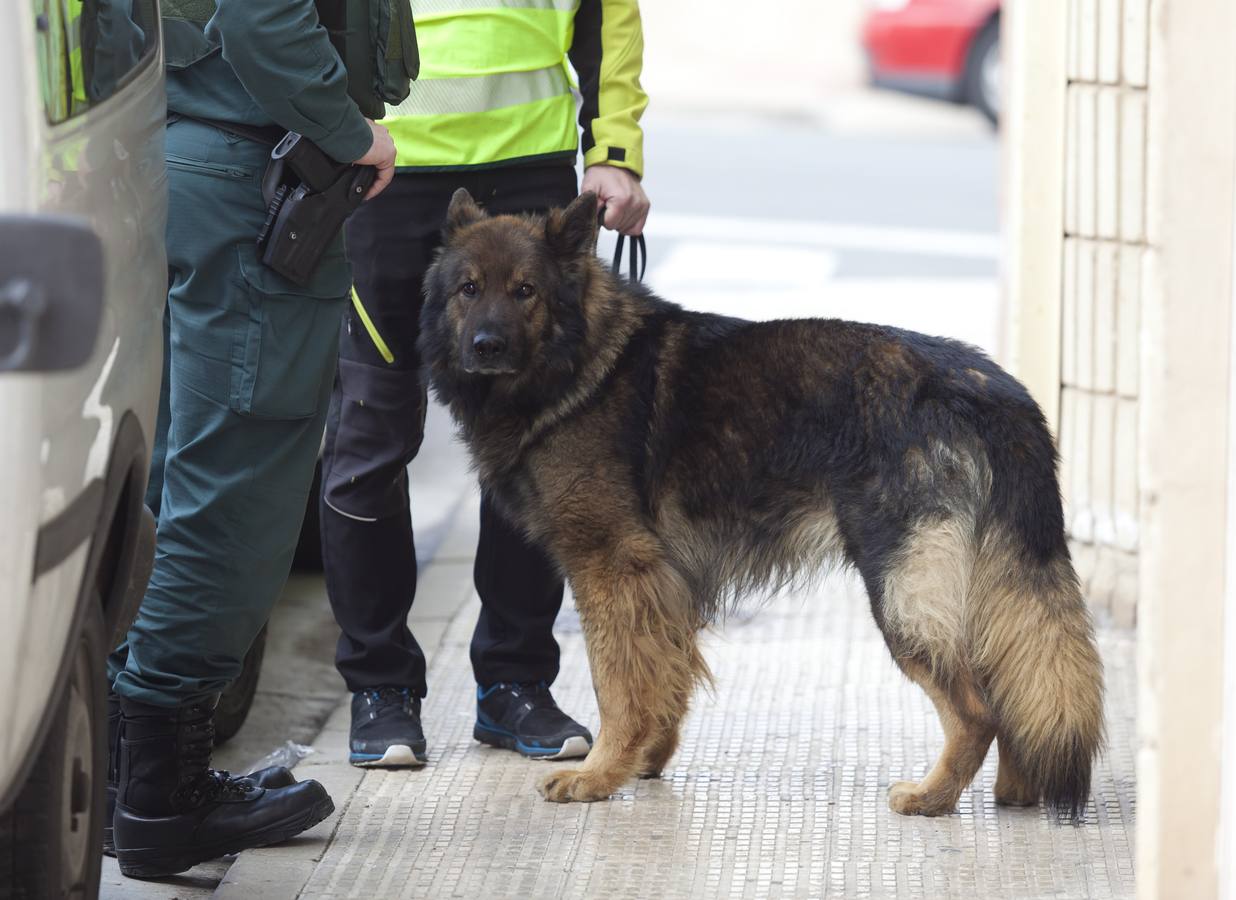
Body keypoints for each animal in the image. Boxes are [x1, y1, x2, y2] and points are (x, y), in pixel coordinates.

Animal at [420, 190, 1107, 820]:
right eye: (468, 289)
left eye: (526, 291)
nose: (484, 345)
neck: (584, 364)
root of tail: (991, 389)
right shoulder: (663, 586)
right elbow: (664, 677)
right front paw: (645, 759)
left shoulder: (611, 568)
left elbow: (618, 684)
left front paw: (599, 774)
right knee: (1007, 679)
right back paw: (1015, 790)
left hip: (901, 589)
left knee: (976, 710)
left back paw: (932, 796)